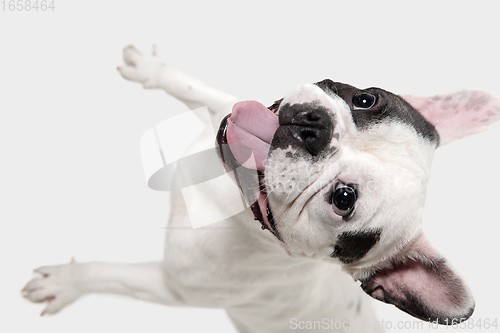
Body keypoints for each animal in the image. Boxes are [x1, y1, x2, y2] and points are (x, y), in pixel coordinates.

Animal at [21, 44, 500, 332]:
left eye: (344, 199)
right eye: (367, 100)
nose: (314, 129)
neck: (234, 202)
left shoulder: (173, 287)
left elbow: (113, 275)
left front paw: (65, 282)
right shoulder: (227, 108)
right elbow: (203, 90)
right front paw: (154, 70)